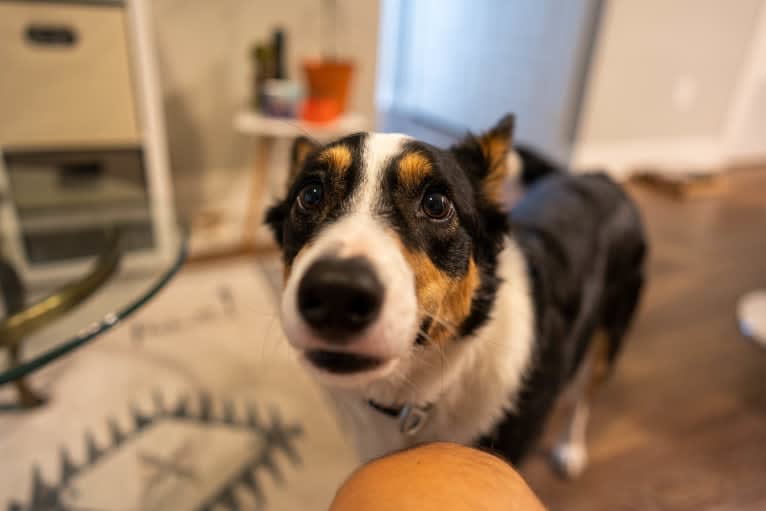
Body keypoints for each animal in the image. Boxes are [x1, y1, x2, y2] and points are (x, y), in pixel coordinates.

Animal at [266, 114, 648, 478]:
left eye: (436, 203)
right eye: (310, 195)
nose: (337, 294)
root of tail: (600, 177)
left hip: (610, 334)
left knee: (583, 397)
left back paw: (570, 448)